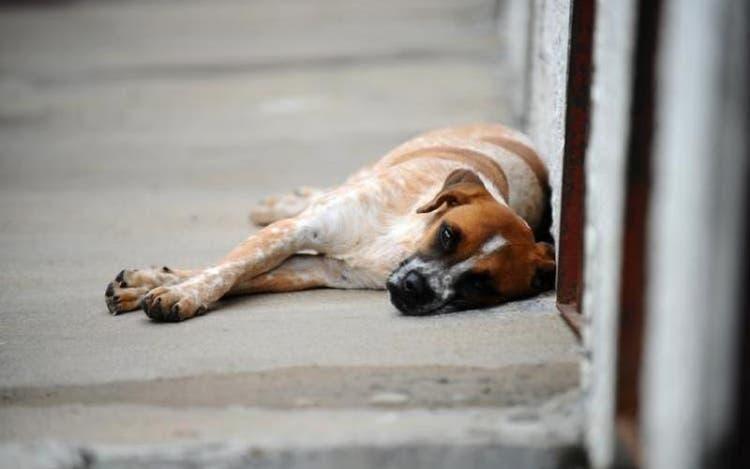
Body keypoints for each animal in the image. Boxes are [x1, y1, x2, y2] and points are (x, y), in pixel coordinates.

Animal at [103, 122, 556, 320]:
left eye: (480, 285)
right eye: (448, 234)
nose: (415, 288)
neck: (400, 239)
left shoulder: (321, 270)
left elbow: (238, 277)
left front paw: (152, 288)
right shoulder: (296, 231)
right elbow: (225, 271)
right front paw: (178, 292)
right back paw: (280, 202)